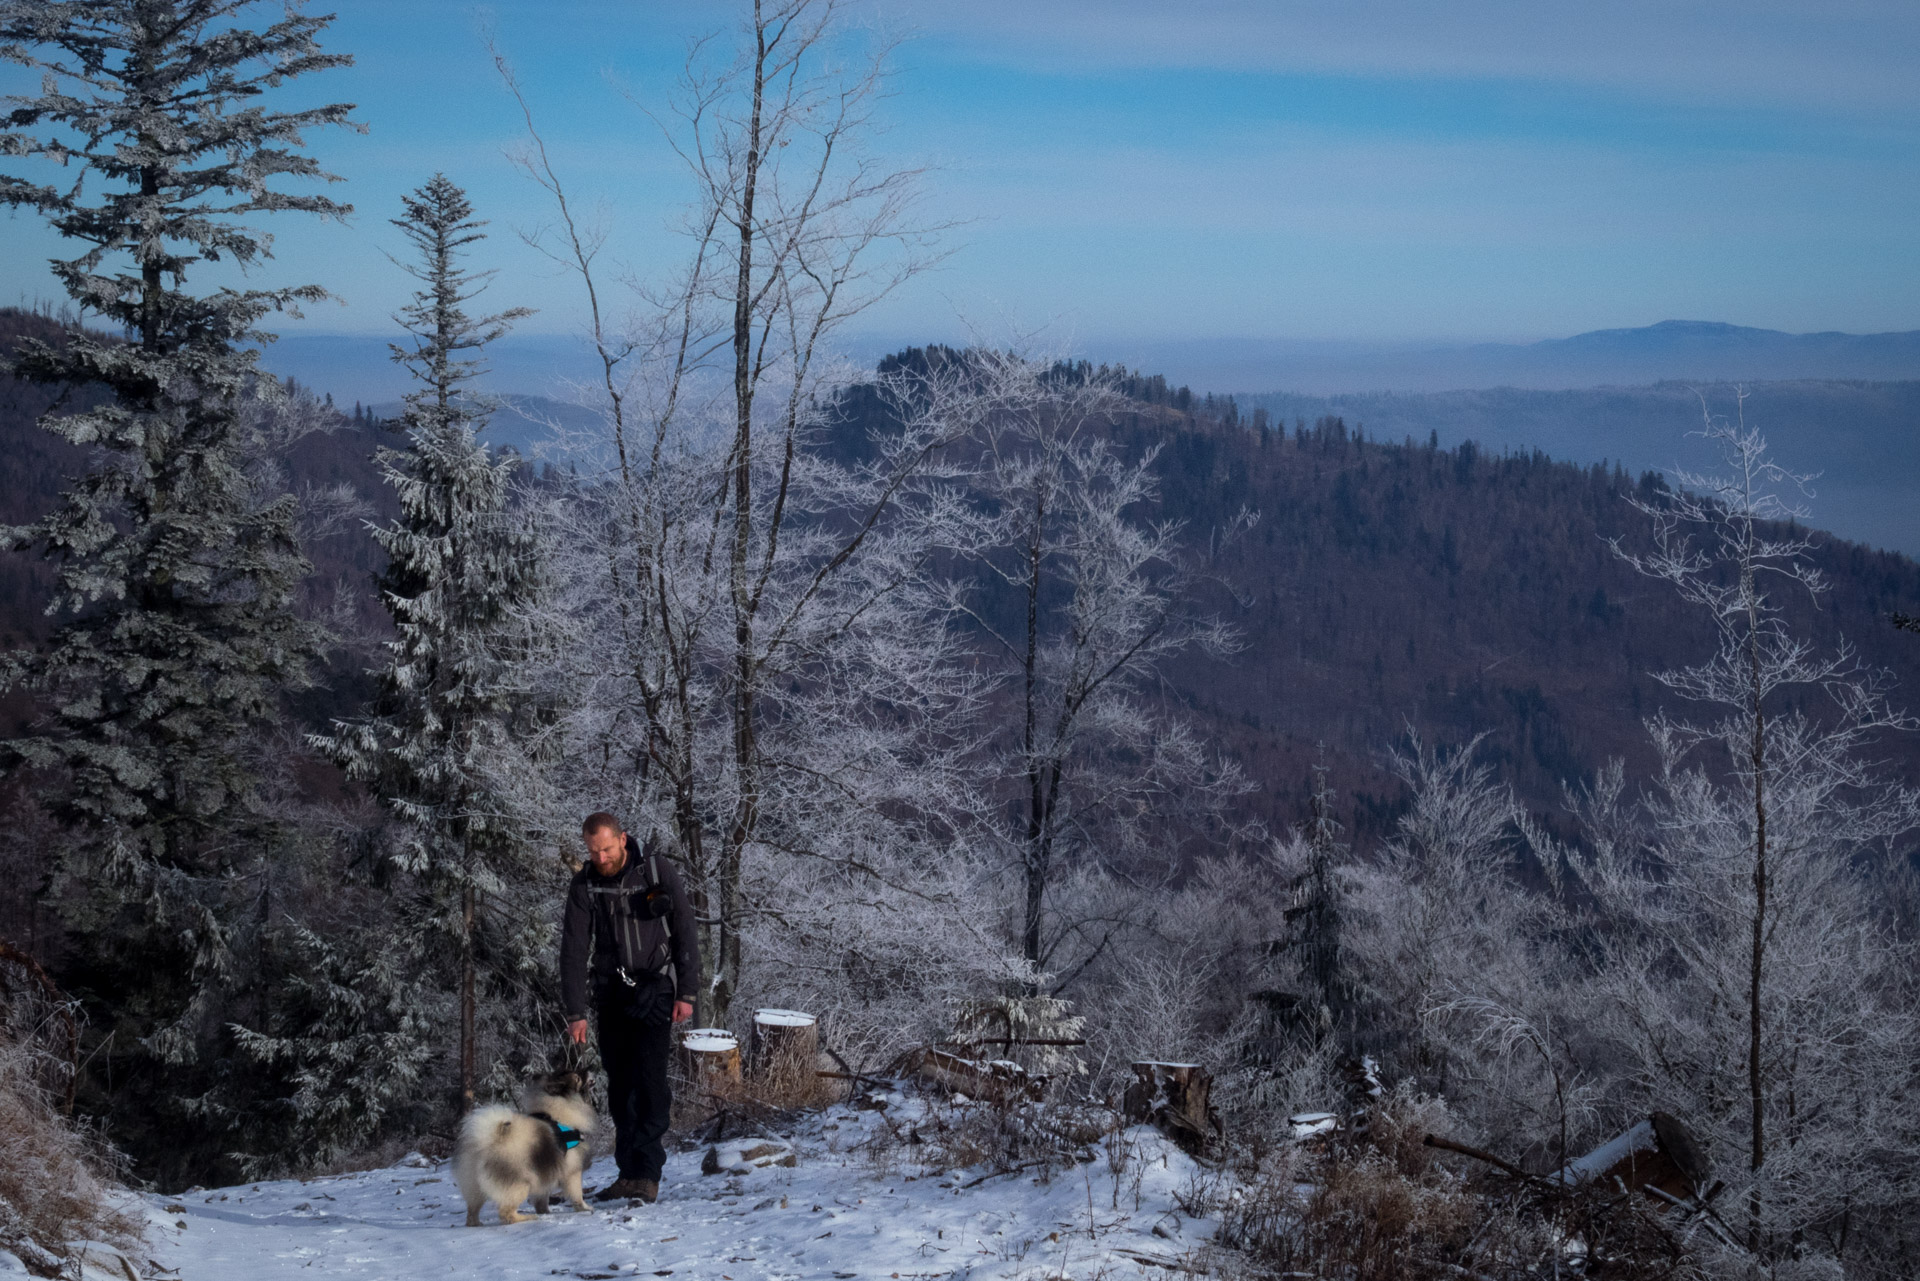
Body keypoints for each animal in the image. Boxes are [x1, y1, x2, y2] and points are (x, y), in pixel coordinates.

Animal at [453, 1067, 595, 1229]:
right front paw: (585, 1208)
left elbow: (542, 1197)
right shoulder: (572, 1172)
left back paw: (477, 1224)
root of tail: (485, 1141)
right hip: (520, 1185)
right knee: (506, 1214)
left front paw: (544, 1211)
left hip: (474, 1187)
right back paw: (527, 1218)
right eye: (578, 1078)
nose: (589, 1069)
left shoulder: (544, 1172)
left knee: (471, 1212)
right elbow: (577, 1194)